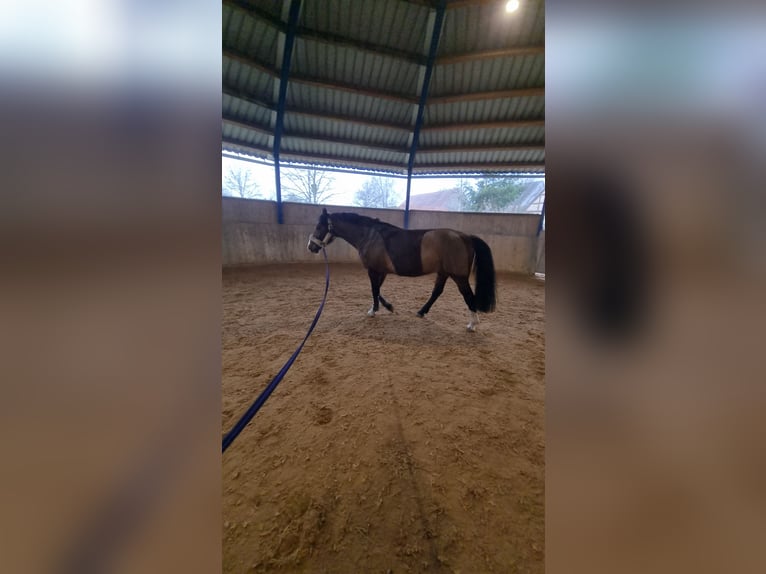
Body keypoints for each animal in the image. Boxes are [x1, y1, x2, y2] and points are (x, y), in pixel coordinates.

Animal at [307, 208, 496, 331]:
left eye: (318, 227)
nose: (311, 247)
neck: (370, 236)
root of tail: (465, 237)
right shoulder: (381, 271)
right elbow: (378, 291)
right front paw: (388, 307)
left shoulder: (373, 270)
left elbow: (374, 290)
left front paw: (373, 311)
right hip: (443, 273)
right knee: (437, 292)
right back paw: (421, 312)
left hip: (459, 276)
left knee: (468, 296)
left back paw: (472, 324)